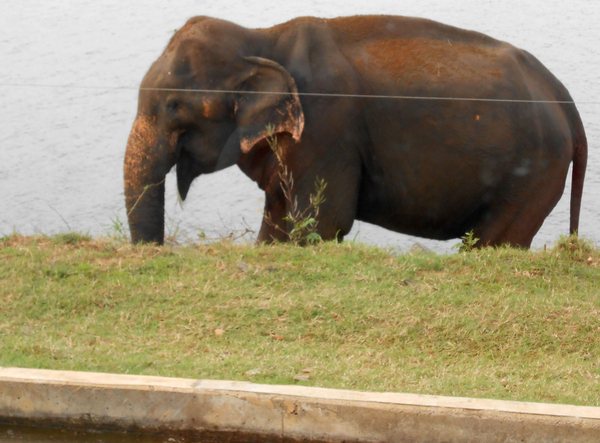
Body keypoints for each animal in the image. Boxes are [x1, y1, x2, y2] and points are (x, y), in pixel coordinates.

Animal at [124, 14, 588, 246]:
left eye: (173, 106)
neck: (262, 37)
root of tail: (564, 97)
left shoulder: (326, 129)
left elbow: (322, 222)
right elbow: (276, 220)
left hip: (534, 175)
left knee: (493, 244)